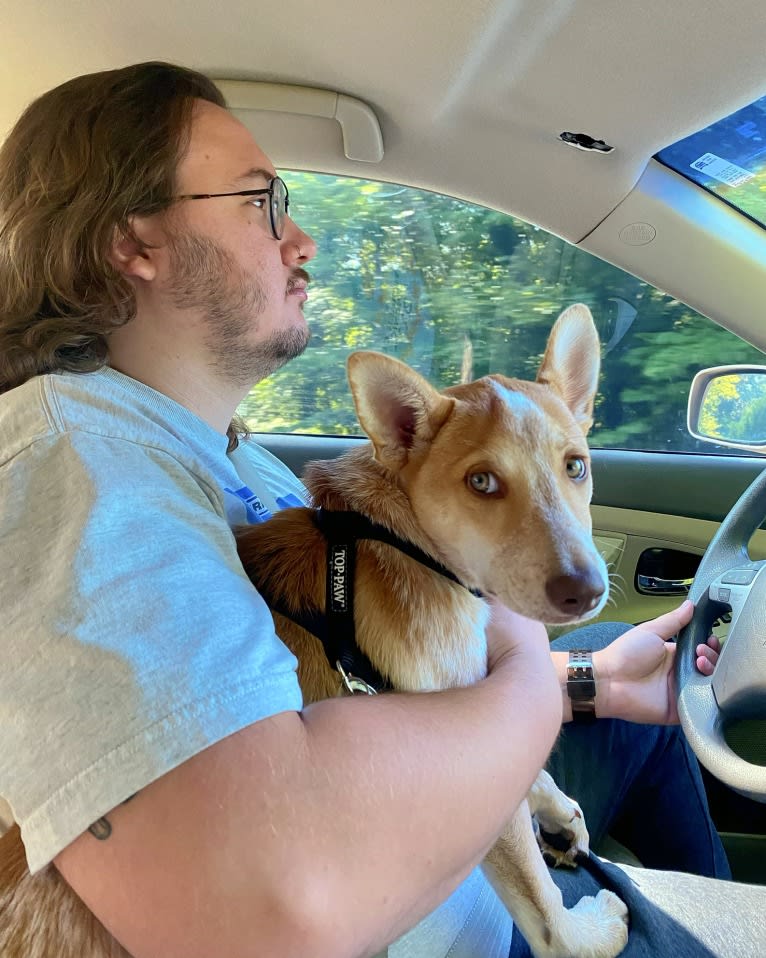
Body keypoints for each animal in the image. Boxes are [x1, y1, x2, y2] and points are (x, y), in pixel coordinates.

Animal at [0, 306, 632, 958]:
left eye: (576, 466)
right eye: (481, 482)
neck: (397, 534)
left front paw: (559, 813)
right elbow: (546, 911)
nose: (583, 590)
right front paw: (593, 929)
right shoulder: (471, 749)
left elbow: (534, 769)